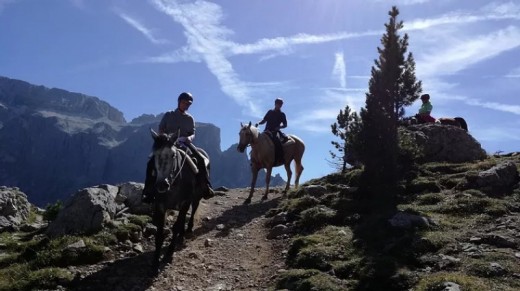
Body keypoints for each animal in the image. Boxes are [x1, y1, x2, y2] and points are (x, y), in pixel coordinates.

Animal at [148, 130, 207, 274]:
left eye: (173, 155)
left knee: (193, 210)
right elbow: (159, 234)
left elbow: (175, 227)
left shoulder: (185, 202)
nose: (162, 185)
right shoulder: (160, 206)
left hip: (196, 197)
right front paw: (155, 263)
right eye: (155, 155)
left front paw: (169, 253)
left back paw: (187, 230)